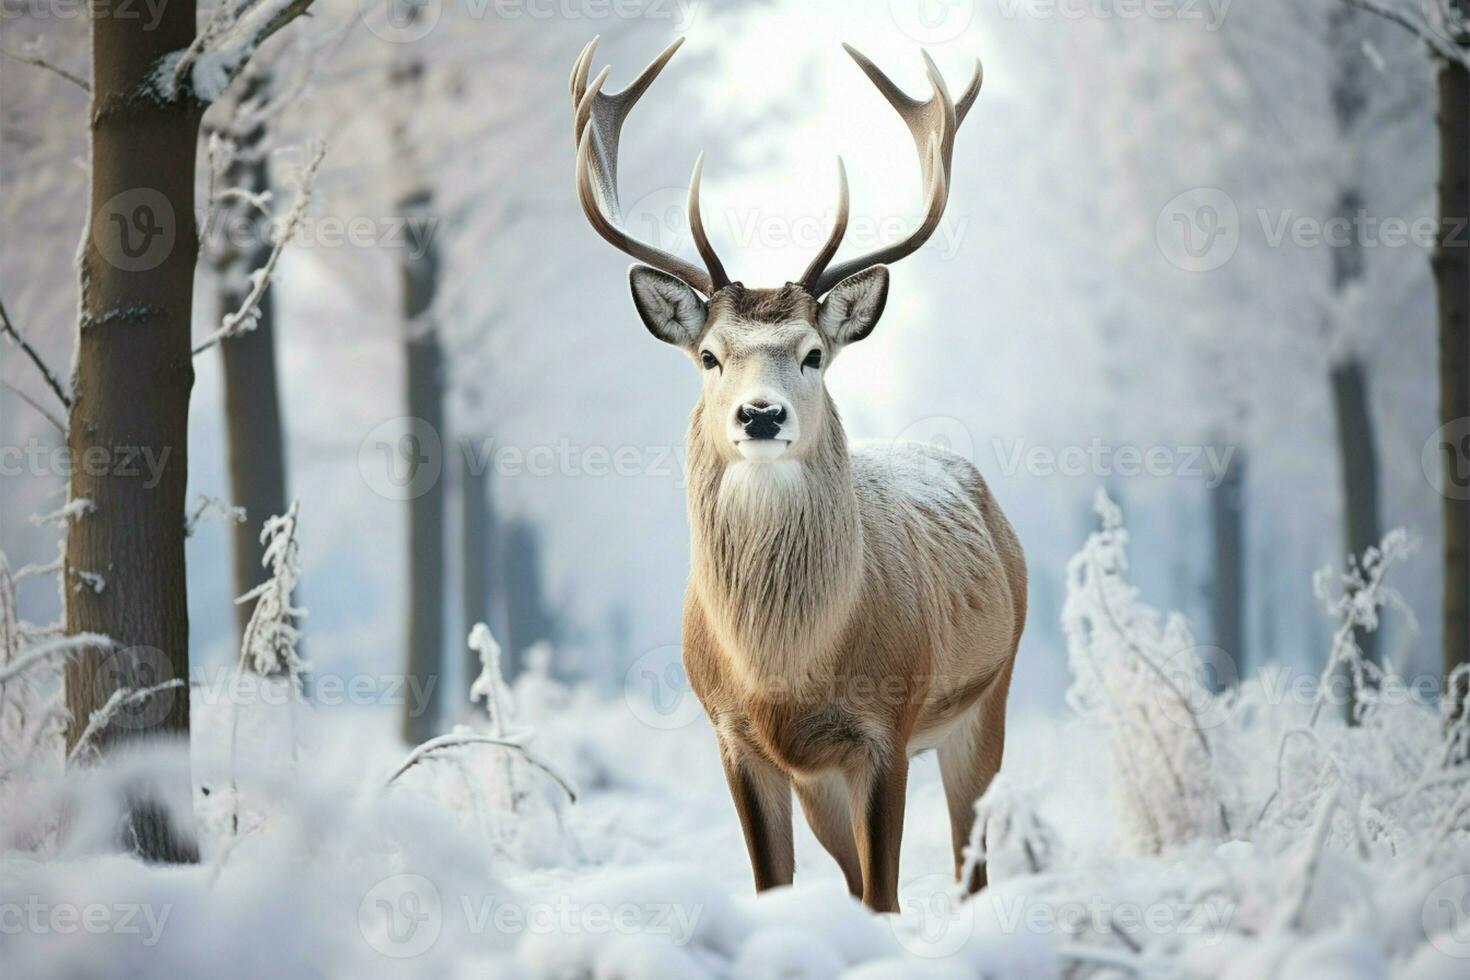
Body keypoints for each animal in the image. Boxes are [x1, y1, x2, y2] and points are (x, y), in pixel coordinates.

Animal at [567, 38, 1029, 910]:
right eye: (709, 356)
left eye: (814, 354)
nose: (760, 414)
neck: (782, 674)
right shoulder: (733, 734)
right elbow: (773, 887)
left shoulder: (886, 728)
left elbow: (886, 896)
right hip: (825, 782)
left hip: (988, 699)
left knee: (972, 866)